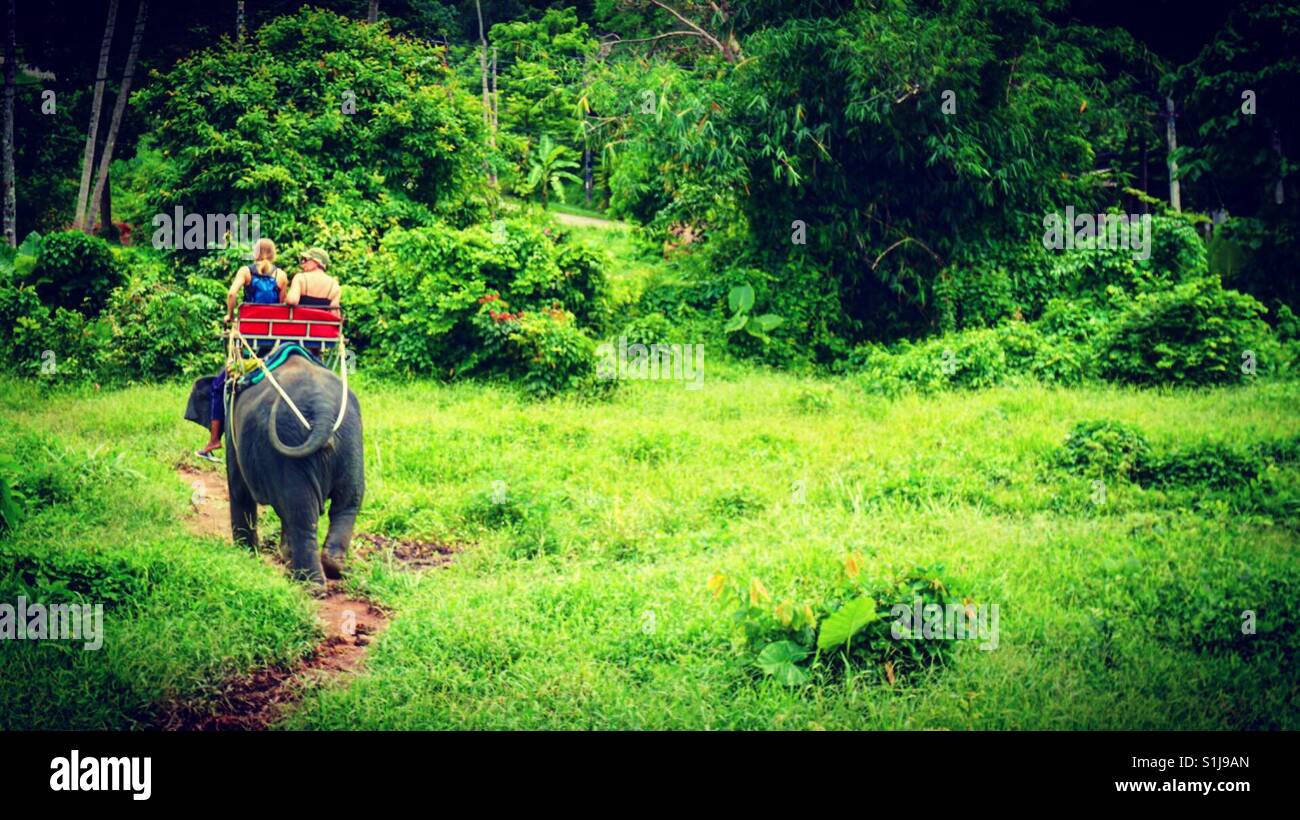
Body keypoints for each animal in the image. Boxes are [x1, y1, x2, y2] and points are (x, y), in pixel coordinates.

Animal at [185, 354, 364, 585]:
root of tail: (322, 409)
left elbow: (239, 489)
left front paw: (246, 555)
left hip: (293, 441)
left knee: (301, 512)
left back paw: (310, 584)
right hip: (351, 439)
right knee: (347, 504)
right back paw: (334, 568)